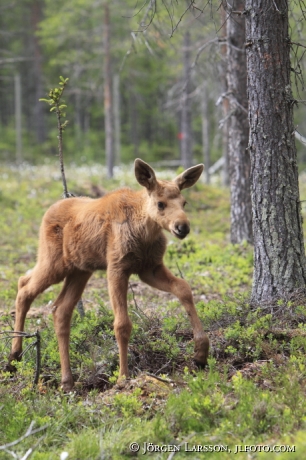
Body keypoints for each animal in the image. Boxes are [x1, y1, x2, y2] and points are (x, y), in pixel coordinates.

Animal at [10, 160, 210, 390]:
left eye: (184, 203)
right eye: (160, 204)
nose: (182, 227)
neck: (146, 233)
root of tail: (47, 211)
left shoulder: (150, 269)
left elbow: (184, 288)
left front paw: (201, 352)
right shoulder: (117, 268)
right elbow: (122, 324)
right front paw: (123, 377)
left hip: (80, 270)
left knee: (59, 309)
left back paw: (66, 380)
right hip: (53, 263)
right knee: (24, 287)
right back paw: (14, 356)